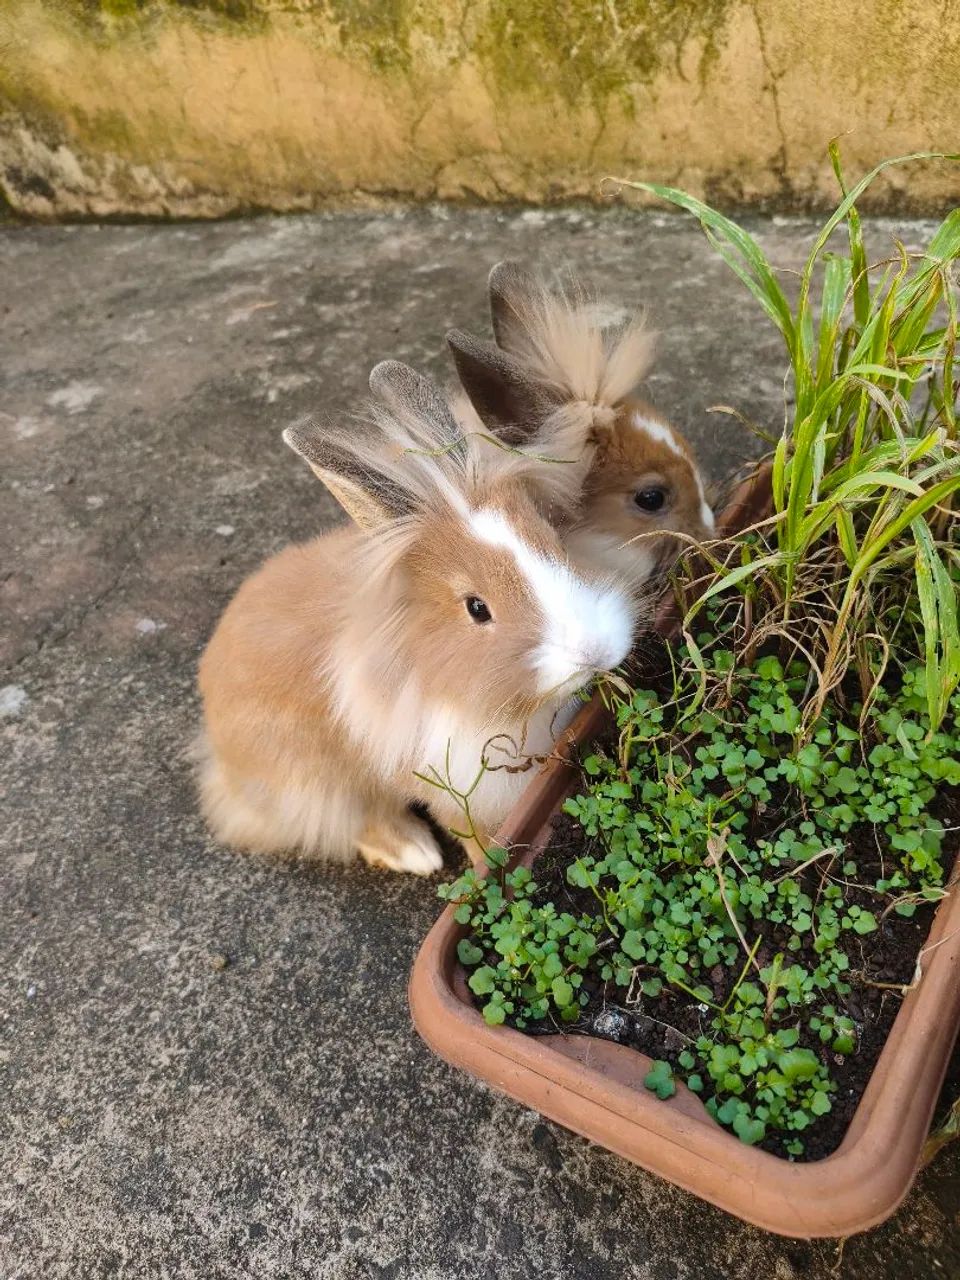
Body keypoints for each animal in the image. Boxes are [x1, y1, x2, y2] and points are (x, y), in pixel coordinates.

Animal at [195, 360, 638, 875]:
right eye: (477, 608)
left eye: (554, 543)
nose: (595, 651)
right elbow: (474, 837)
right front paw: (486, 868)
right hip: (315, 783)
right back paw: (416, 853)